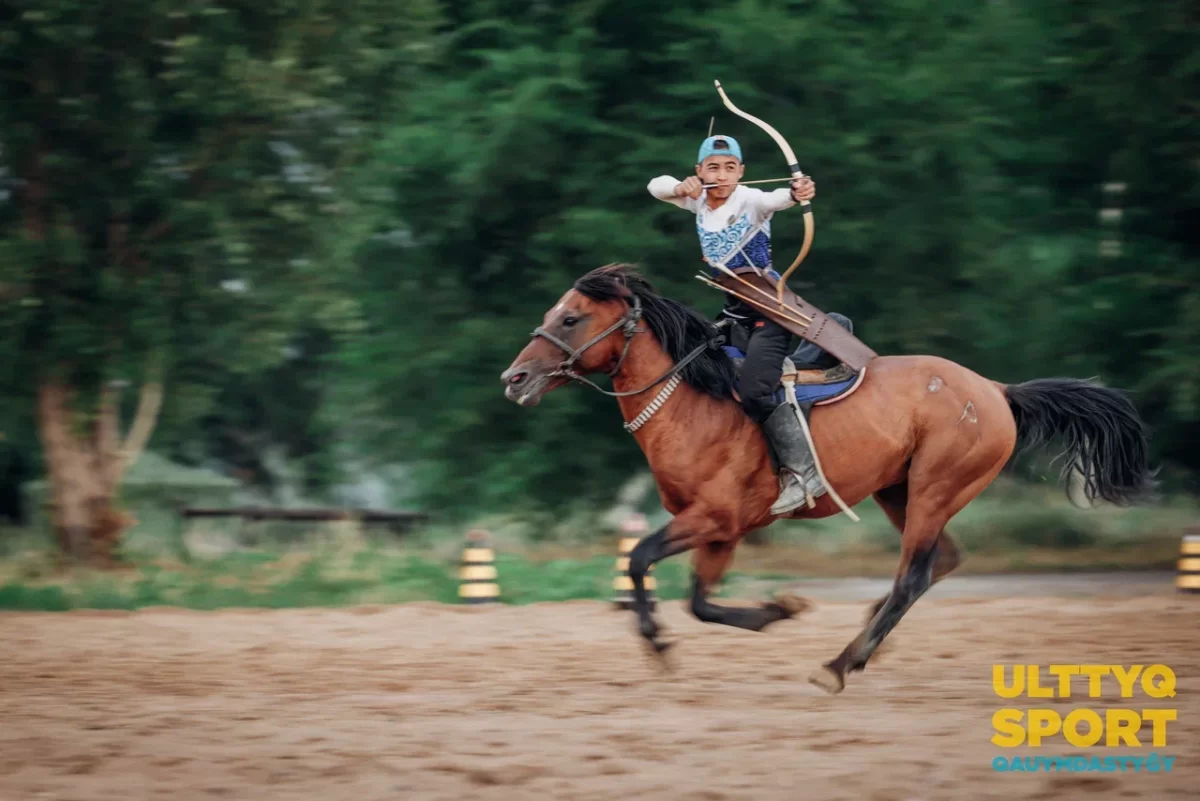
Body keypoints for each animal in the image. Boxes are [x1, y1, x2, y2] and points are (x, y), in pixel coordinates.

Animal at [496, 263, 1152, 695]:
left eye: (571, 317)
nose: (514, 379)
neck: (693, 401)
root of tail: (994, 390)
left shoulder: (714, 518)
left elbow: (639, 561)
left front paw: (659, 641)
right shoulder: (720, 533)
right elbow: (699, 602)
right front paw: (776, 610)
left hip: (935, 490)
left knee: (914, 576)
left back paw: (840, 665)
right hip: (900, 492)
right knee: (940, 563)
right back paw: (866, 641)